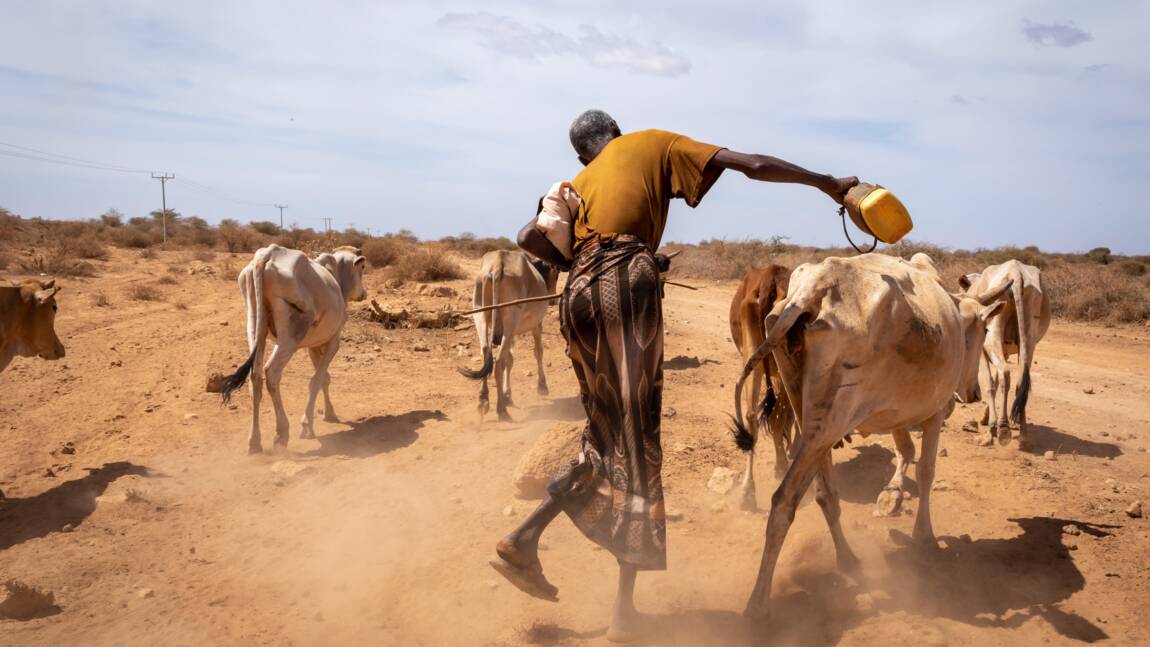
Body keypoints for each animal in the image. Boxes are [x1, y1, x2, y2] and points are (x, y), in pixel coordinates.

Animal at [213, 245, 361, 452]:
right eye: (362, 269)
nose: (364, 293)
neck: (335, 277)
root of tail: (266, 255)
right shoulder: (334, 341)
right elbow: (317, 379)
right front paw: (307, 425)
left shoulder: (314, 346)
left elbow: (324, 378)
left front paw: (329, 413)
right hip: (291, 334)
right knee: (271, 372)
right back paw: (281, 434)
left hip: (254, 325)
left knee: (255, 376)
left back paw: (254, 441)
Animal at [462, 250, 561, 422]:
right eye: (555, 274)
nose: (553, 300)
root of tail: (497, 264)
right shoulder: (536, 325)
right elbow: (538, 352)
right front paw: (542, 386)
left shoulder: (508, 333)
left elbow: (511, 359)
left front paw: (507, 394)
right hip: (511, 318)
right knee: (499, 360)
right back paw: (501, 409)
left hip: (479, 313)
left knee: (486, 352)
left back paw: (483, 399)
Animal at [731, 264, 795, 512]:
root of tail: (770, 277)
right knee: (776, 417)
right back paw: (781, 466)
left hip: (753, 355)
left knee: (751, 416)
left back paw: (747, 492)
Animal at [956, 260, 1048, 448]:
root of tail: (1016, 272)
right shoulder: (1003, 351)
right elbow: (997, 381)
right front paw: (987, 418)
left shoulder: (981, 350)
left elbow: (991, 383)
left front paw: (991, 425)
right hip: (1029, 340)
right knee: (1021, 381)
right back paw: (1023, 434)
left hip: (994, 334)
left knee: (1005, 373)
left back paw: (1002, 429)